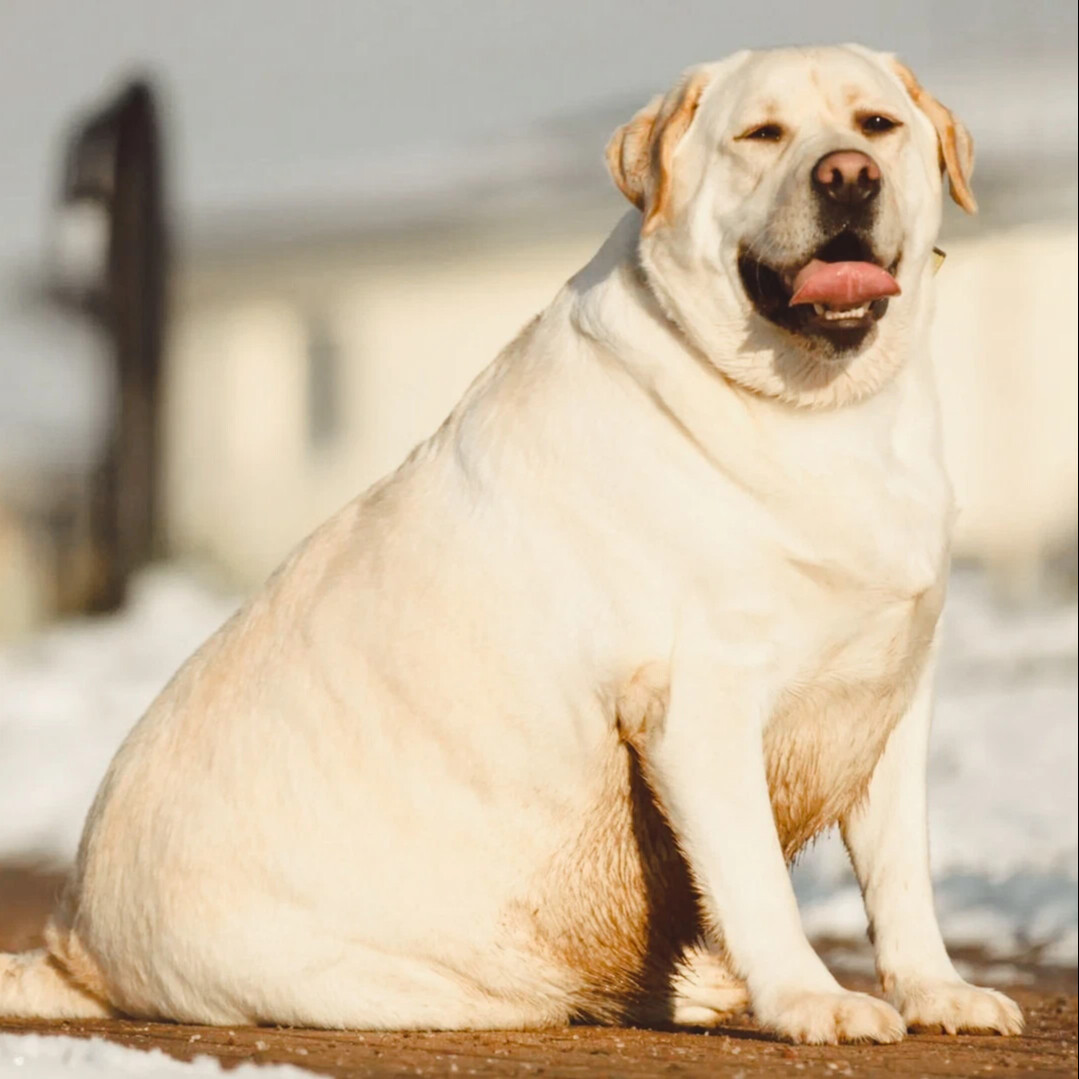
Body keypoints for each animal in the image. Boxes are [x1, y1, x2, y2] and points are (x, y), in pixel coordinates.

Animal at [0, 44, 1022, 1044]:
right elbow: (757, 877)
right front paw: (811, 1000)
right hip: (415, 977)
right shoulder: (699, 702)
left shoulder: (891, 696)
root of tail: (72, 943)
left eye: (875, 125)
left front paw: (936, 990)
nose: (846, 175)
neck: (819, 409)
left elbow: (901, 875)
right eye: (761, 134)